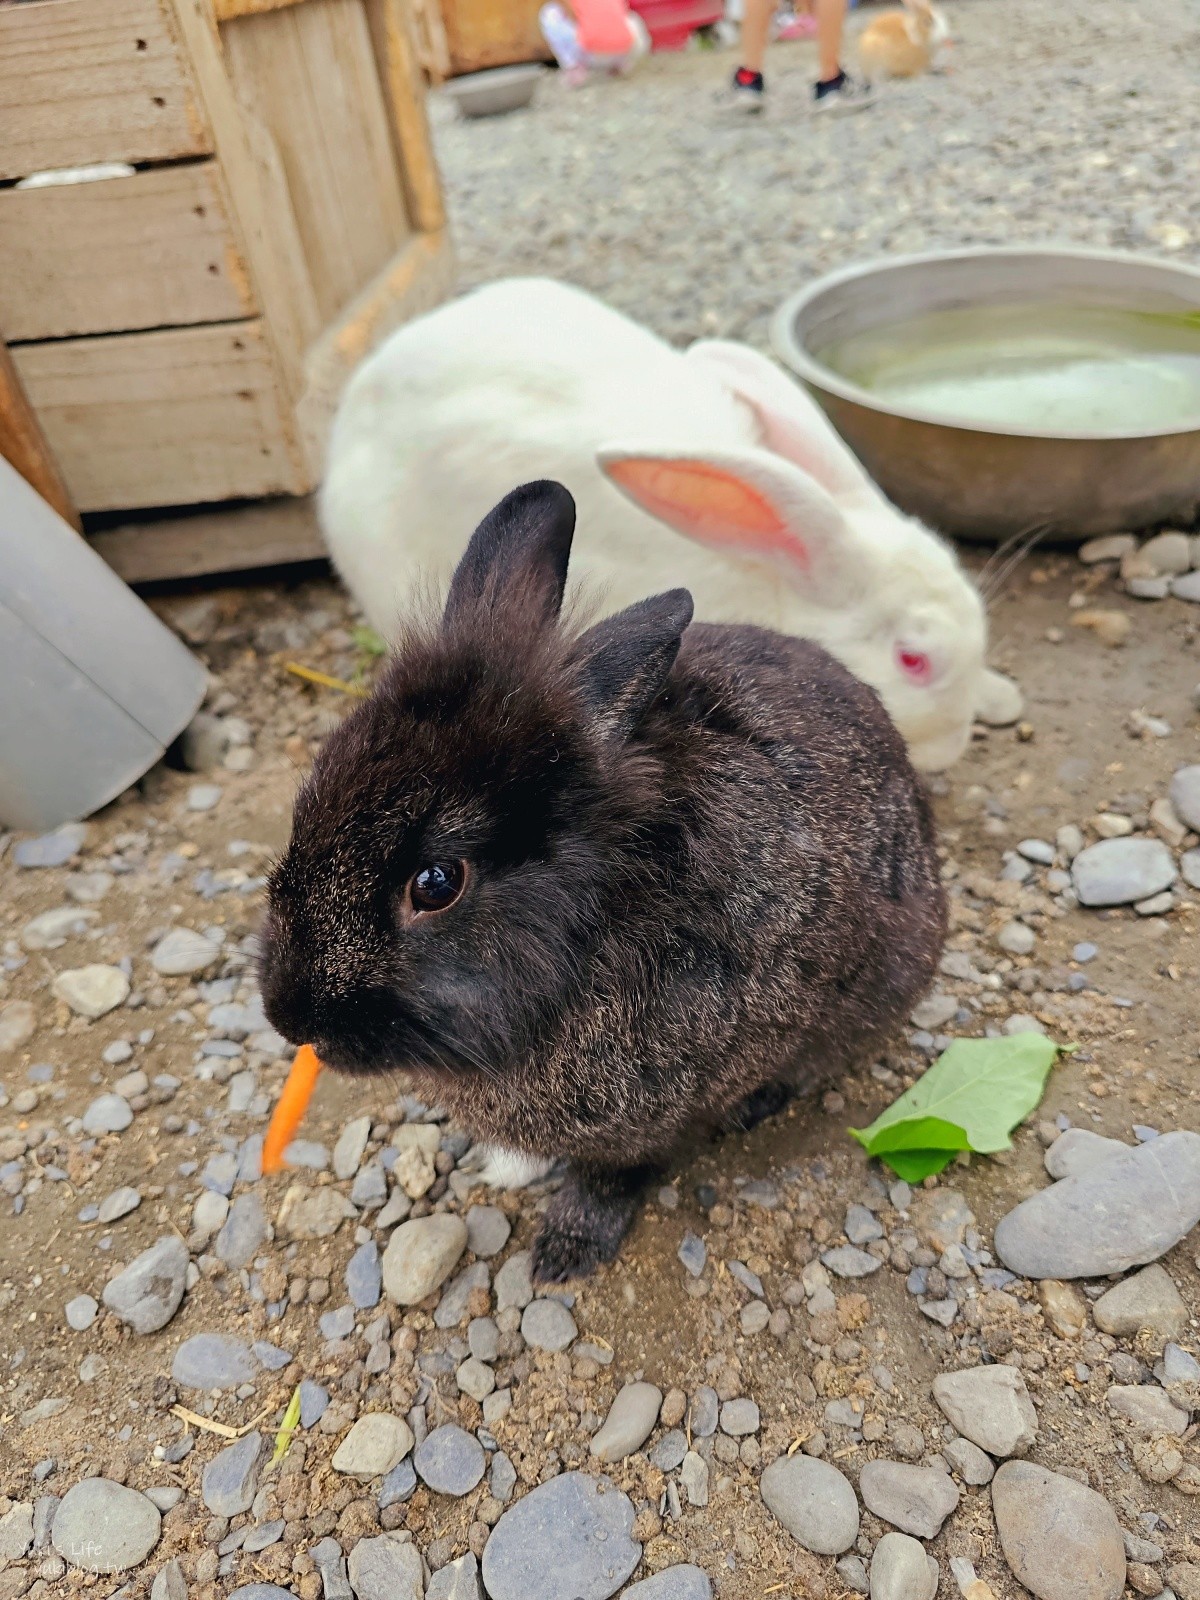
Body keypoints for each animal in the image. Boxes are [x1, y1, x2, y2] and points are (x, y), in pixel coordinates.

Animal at [260, 480, 947, 1280]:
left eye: (435, 883)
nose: (292, 1020)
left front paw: (564, 1252)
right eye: (307, 806)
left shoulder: (656, 1114)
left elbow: (615, 1174)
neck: (595, 917)